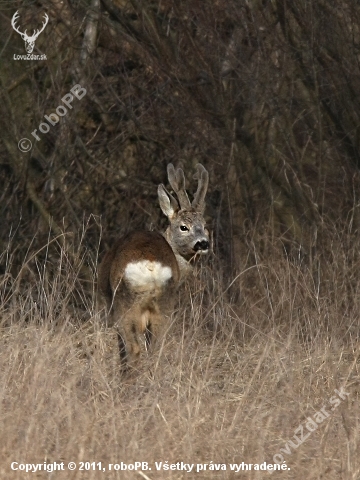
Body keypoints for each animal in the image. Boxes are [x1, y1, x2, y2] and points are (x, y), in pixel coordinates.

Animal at [98, 163, 211, 366]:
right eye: (184, 227)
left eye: (204, 226)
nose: (203, 243)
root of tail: (150, 266)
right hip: (165, 303)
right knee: (156, 349)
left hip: (125, 301)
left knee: (133, 349)